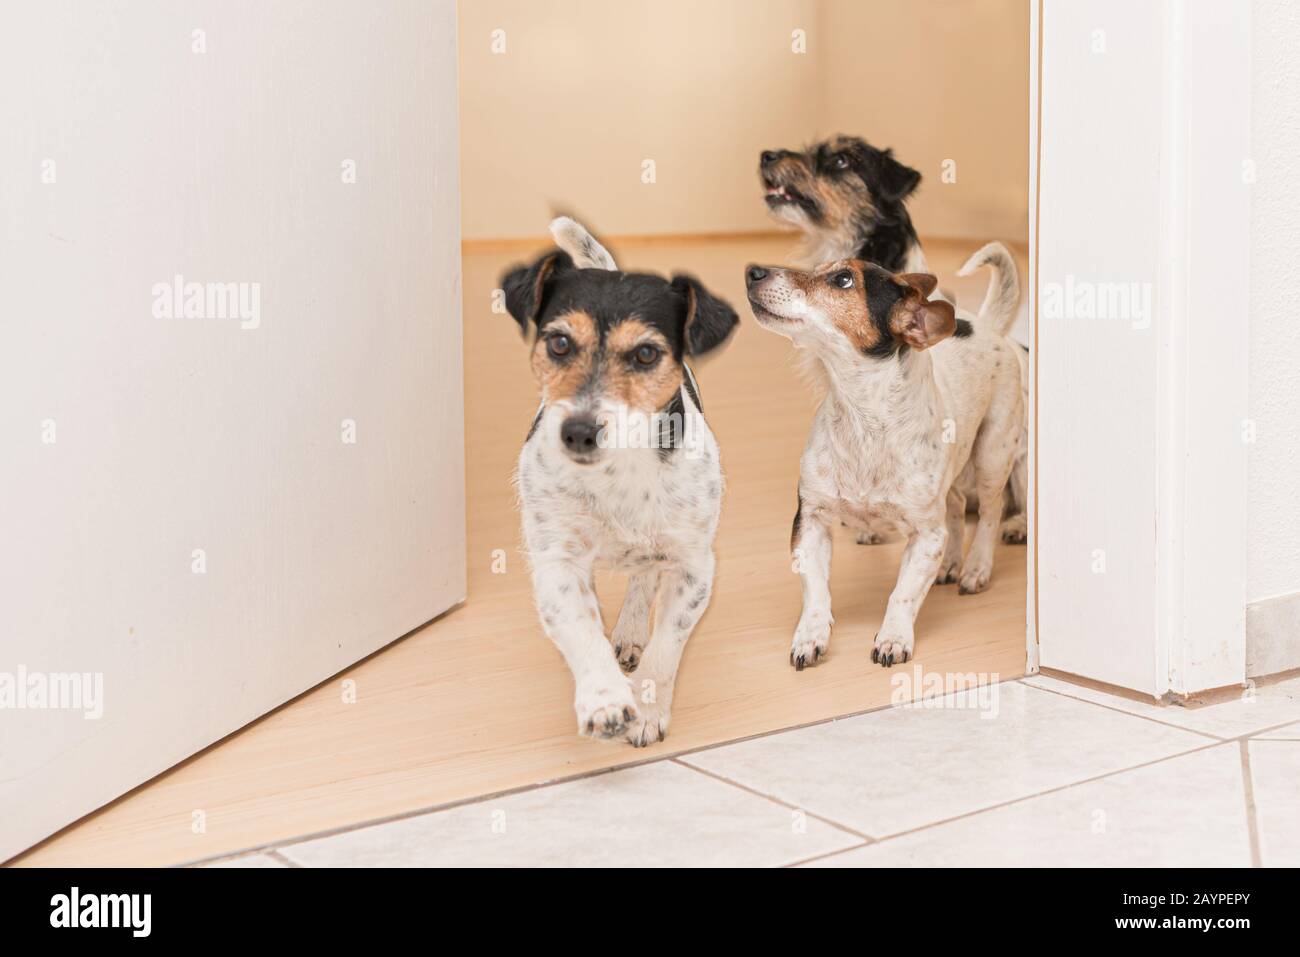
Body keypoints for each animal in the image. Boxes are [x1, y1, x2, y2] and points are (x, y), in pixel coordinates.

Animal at [499, 218, 738, 748]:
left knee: (644, 577)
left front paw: (647, 707)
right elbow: (581, 630)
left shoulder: (693, 567)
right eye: (559, 343)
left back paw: (630, 629)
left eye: (646, 353)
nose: (579, 431)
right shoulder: (557, 562)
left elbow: (667, 643)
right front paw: (605, 700)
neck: (617, 473)